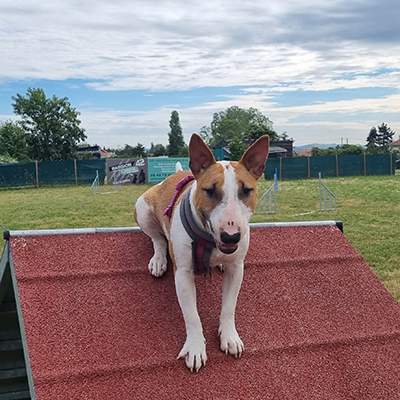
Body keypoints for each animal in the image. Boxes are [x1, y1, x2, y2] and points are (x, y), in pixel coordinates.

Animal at [134, 134, 268, 372]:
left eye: (246, 190)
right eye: (210, 190)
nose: (231, 237)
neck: (209, 240)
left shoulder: (236, 269)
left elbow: (229, 306)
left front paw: (230, 337)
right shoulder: (183, 274)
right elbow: (192, 315)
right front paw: (196, 348)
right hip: (142, 208)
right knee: (157, 239)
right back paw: (158, 260)